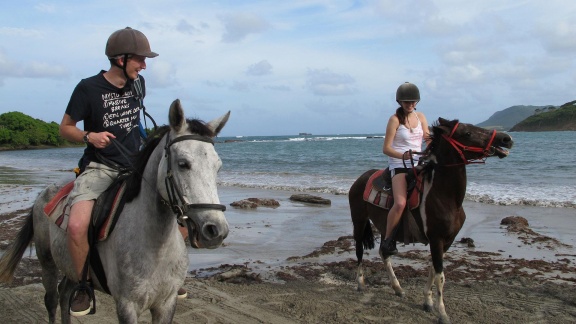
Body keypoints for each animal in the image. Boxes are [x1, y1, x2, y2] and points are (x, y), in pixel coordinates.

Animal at [0, 100, 230, 322]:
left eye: (218, 166)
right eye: (183, 164)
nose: (215, 230)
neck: (156, 246)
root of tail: (43, 194)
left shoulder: (166, 304)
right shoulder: (127, 305)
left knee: (65, 294)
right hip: (47, 262)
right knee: (52, 300)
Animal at [346, 117, 512, 322]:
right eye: (467, 133)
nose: (506, 139)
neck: (444, 195)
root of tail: (360, 179)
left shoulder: (447, 241)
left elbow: (433, 269)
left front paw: (428, 302)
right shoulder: (436, 239)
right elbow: (441, 276)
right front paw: (442, 313)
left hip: (385, 227)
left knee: (384, 252)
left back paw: (397, 288)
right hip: (359, 221)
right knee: (359, 250)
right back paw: (361, 283)